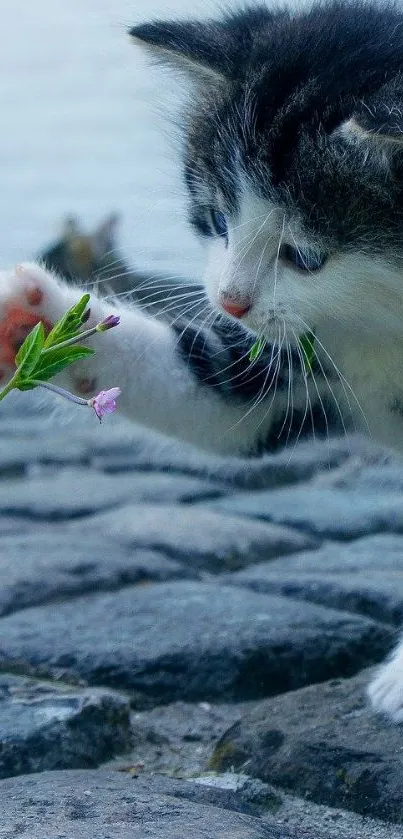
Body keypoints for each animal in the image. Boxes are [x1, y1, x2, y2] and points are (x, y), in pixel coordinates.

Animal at [0, 1, 403, 720]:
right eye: (216, 219)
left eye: (306, 256)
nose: (228, 300)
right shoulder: (300, 352)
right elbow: (220, 402)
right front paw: (34, 315)